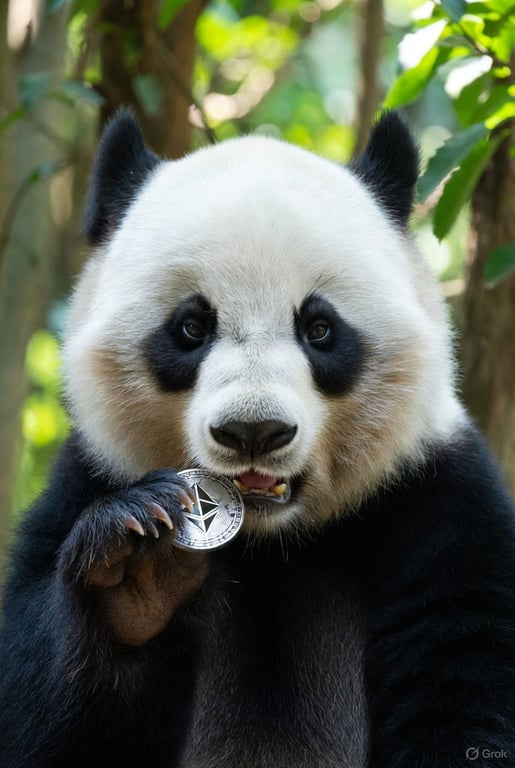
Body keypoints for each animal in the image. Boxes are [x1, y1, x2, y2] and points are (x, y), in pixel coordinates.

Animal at [0, 110, 514, 768]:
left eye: (319, 328)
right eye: (191, 327)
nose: (253, 430)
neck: (271, 543)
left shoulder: (441, 506)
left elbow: (463, 689)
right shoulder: (83, 483)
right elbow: (37, 719)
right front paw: (138, 571)